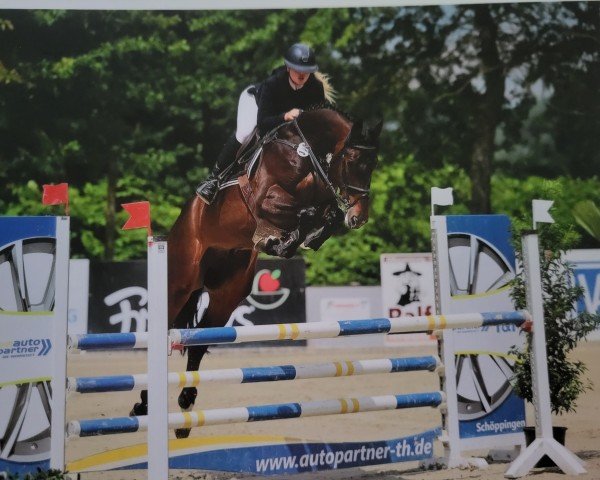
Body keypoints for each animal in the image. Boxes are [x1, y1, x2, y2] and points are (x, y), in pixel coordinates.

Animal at [132, 107, 384, 436]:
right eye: (353, 162)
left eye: (373, 164)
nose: (359, 218)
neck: (307, 154)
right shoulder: (264, 198)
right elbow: (296, 209)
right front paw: (282, 238)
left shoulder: (322, 196)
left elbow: (323, 213)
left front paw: (297, 239)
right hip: (179, 283)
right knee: (164, 332)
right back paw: (144, 404)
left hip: (226, 294)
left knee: (198, 344)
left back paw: (185, 410)